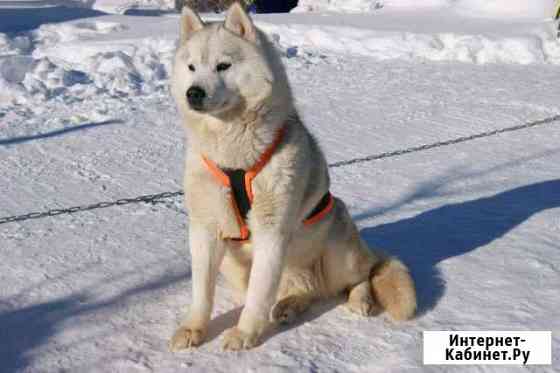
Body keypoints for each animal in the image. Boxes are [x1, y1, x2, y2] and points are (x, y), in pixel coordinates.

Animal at [168, 2, 414, 350]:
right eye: (191, 67)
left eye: (222, 66)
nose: (194, 93)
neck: (235, 156)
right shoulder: (205, 228)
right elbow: (202, 292)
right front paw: (193, 328)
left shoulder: (272, 231)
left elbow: (258, 295)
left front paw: (244, 333)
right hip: (237, 263)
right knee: (304, 291)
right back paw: (289, 306)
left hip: (337, 245)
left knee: (361, 276)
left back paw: (358, 300)